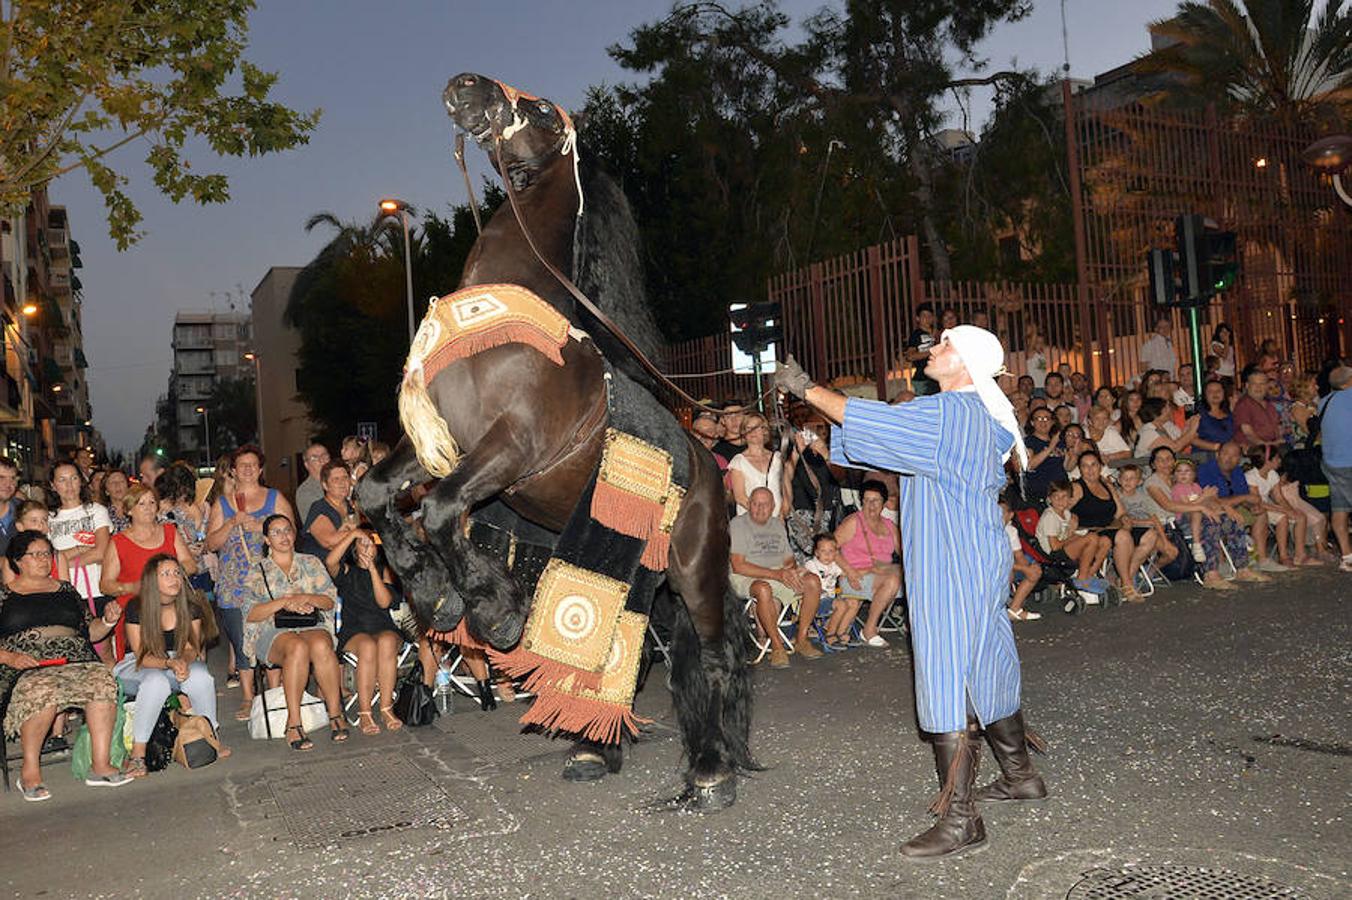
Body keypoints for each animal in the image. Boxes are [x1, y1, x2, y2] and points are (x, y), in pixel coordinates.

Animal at [359, 73, 757, 800]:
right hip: (638, 570)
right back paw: (596, 749)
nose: (464, 86)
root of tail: (709, 469)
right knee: (639, 650)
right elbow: (375, 496)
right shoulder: (436, 449)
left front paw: (491, 609)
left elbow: (441, 511)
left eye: (541, 108)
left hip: (693, 567)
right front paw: (431, 591)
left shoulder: (512, 447)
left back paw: (712, 770)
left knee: (716, 652)